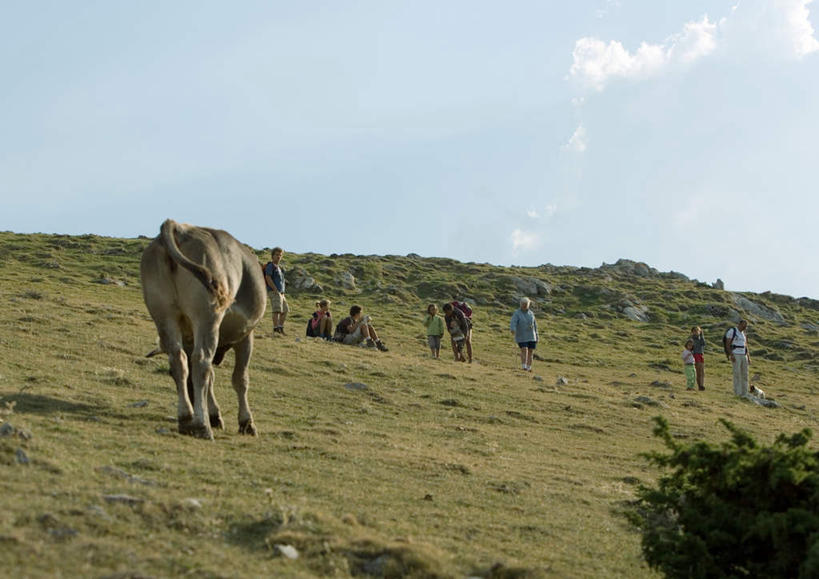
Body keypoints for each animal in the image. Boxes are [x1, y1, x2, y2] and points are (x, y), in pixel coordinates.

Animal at [141, 220, 266, 442]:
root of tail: (179, 228)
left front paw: (213, 414)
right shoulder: (246, 335)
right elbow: (240, 379)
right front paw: (246, 422)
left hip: (164, 314)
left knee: (179, 361)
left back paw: (185, 418)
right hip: (207, 316)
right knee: (201, 362)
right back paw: (201, 426)